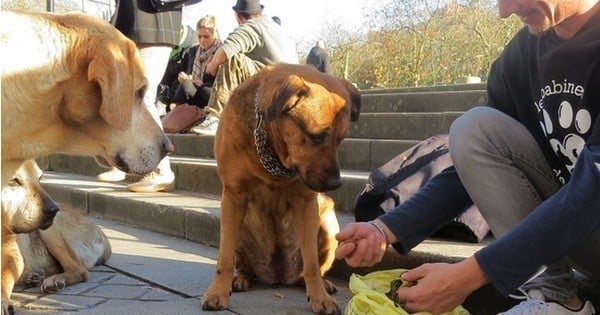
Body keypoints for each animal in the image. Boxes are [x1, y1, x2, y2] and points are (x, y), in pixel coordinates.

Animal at [202, 63, 360, 314]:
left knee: (310, 269)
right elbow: (224, 258)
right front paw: (217, 292)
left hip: (328, 222)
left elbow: (311, 262)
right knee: (243, 264)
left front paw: (320, 298)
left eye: (341, 139)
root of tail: (279, 276)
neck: (273, 154)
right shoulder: (233, 196)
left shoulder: (305, 202)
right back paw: (240, 279)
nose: (335, 183)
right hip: (237, 225)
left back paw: (321, 283)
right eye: (317, 137)